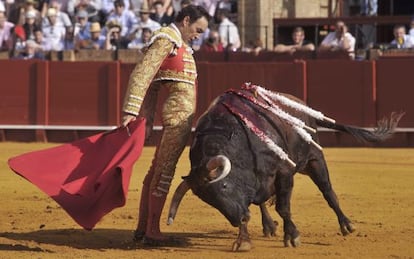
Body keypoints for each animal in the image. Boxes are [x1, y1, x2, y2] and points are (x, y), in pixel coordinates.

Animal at [167, 86, 402, 253]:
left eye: (224, 186)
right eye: (208, 200)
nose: (237, 220)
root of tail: (300, 105)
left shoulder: (284, 172)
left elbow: (283, 207)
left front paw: (292, 236)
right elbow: (251, 206)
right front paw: (243, 241)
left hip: (313, 159)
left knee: (328, 191)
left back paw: (347, 225)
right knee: (261, 202)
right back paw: (268, 226)